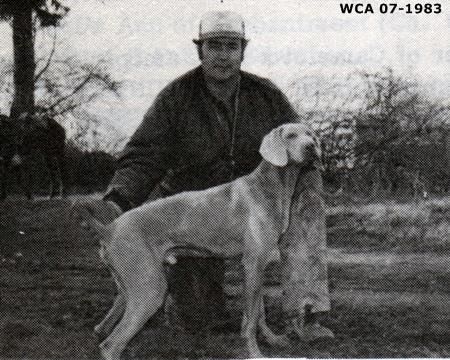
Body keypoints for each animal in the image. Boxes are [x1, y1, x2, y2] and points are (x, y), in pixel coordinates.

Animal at [78, 122, 324, 358]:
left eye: (311, 135)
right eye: (291, 135)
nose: (311, 147)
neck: (269, 187)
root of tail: (109, 228)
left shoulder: (255, 264)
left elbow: (259, 312)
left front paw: (273, 340)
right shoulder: (253, 262)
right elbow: (252, 318)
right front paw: (255, 353)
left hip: (131, 287)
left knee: (104, 327)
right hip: (150, 290)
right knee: (110, 345)